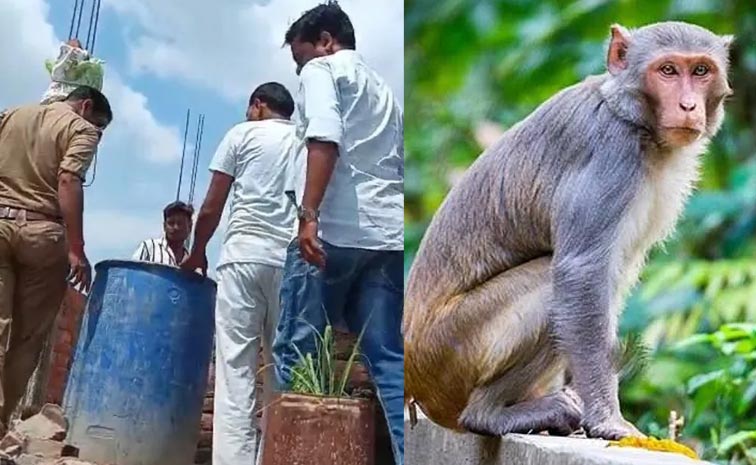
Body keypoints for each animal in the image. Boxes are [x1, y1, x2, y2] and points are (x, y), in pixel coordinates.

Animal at [403, 21, 733, 440]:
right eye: (668, 71)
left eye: (701, 71)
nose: (688, 106)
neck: (632, 120)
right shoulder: (611, 154)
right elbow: (582, 273)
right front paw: (608, 418)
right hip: (453, 350)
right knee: (551, 282)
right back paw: (489, 414)